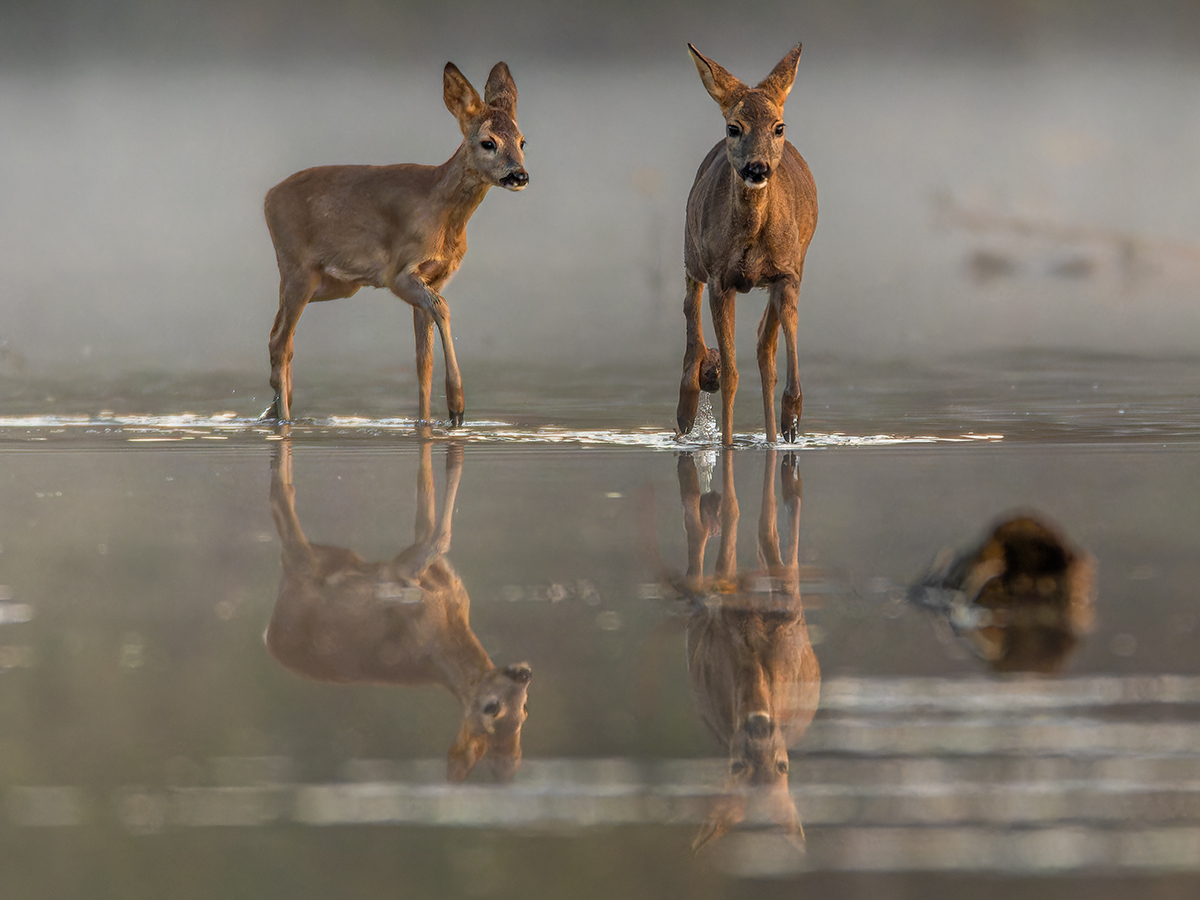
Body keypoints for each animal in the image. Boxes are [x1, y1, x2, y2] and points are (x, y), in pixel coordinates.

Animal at [260, 62, 528, 422]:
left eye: (523, 141)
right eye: (488, 142)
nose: (519, 175)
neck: (442, 212)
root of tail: (268, 198)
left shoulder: (435, 278)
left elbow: (423, 360)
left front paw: (430, 420)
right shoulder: (399, 273)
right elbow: (442, 309)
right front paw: (457, 405)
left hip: (331, 284)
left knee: (280, 338)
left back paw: (272, 412)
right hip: (298, 269)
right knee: (279, 341)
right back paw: (283, 418)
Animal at [265, 441, 532, 777]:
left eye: (524, 710)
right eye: (491, 707)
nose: (523, 673)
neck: (448, 622)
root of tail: (270, 638)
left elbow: (428, 509)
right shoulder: (401, 569)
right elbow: (437, 531)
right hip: (303, 563)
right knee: (281, 498)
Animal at [648, 451, 816, 854]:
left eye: (783, 766)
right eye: (736, 765)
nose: (760, 728)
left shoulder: (788, 620)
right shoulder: (722, 621)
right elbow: (736, 518)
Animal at [676, 45, 816, 448]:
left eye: (779, 127)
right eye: (734, 127)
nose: (757, 167)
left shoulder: (788, 272)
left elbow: (775, 357)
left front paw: (790, 422)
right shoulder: (720, 278)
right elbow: (733, 373)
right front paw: (724, 442)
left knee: (763, 345)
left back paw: (771, 434)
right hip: (692, 253)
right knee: (689, 306)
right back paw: (692, 398)